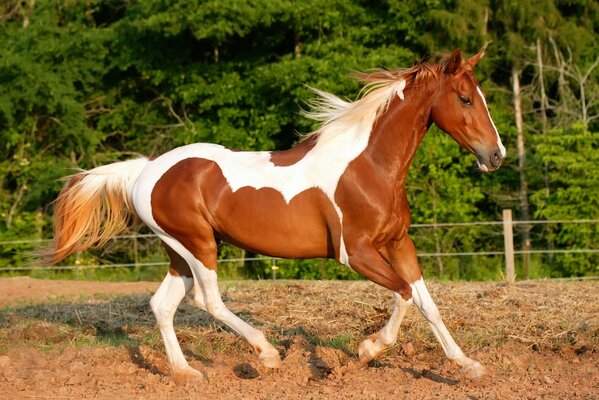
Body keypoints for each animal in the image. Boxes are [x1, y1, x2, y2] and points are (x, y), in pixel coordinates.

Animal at [48, 49, 506, 382]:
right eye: (465, 98)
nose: (496, 155)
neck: (369, 166)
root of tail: (146, 169)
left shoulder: (398, 243)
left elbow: (427, 303)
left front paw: (468, 366)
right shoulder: (355, 252)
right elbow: (404, 293)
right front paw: (367, 349)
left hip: (179, 250)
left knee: (162, 304)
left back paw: (186, 373)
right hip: (198, 245)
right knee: (207, 300)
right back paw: (267, 354)